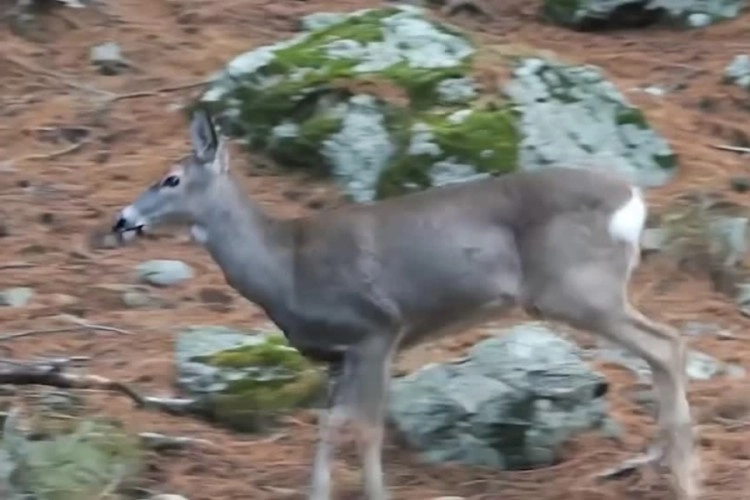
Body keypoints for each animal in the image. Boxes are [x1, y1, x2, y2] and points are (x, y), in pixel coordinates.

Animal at [111, 108, 699, 500]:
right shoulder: (339, 355)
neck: (286, 266)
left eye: (171, 178)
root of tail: (634, 199)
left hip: (577, 288)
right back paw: (663, 464)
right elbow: (330, 427)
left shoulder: (378, 329)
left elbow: (366, 428)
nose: (121, 220)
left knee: (667, 344)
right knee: (663, 347)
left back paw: (685, 476)